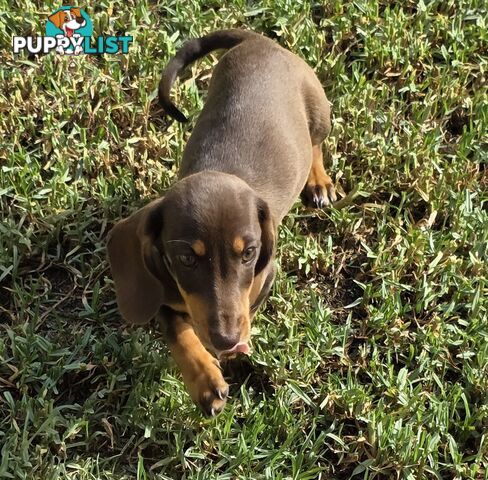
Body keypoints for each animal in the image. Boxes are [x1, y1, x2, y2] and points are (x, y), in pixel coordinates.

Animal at [107, 29, 336, 416]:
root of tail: (258, 41)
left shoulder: (264, 276)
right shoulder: (160, 288)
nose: (226, 340)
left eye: (249, 254)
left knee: (315, 144)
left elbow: (247, 306)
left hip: (319, 110)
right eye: (186, 258)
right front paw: (205, 379)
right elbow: (177, 330)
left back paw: (318, 180)